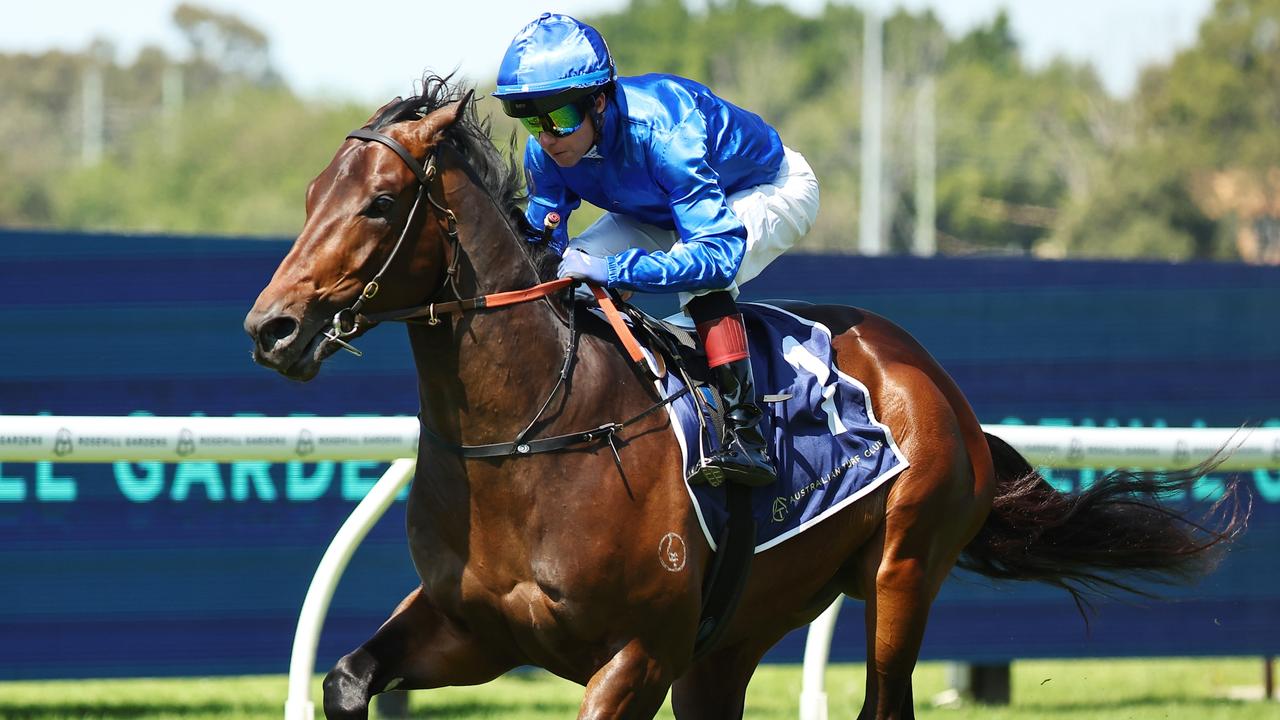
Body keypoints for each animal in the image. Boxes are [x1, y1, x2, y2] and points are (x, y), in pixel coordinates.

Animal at [244, 75, 1244, 712]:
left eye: (379, 201)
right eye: (311, 192)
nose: (272, 328)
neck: (532, 434)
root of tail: (930, 376)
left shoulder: (638, 654)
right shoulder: (475, 629)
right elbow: (345, 677)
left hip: (900, 574)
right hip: (734, 635)